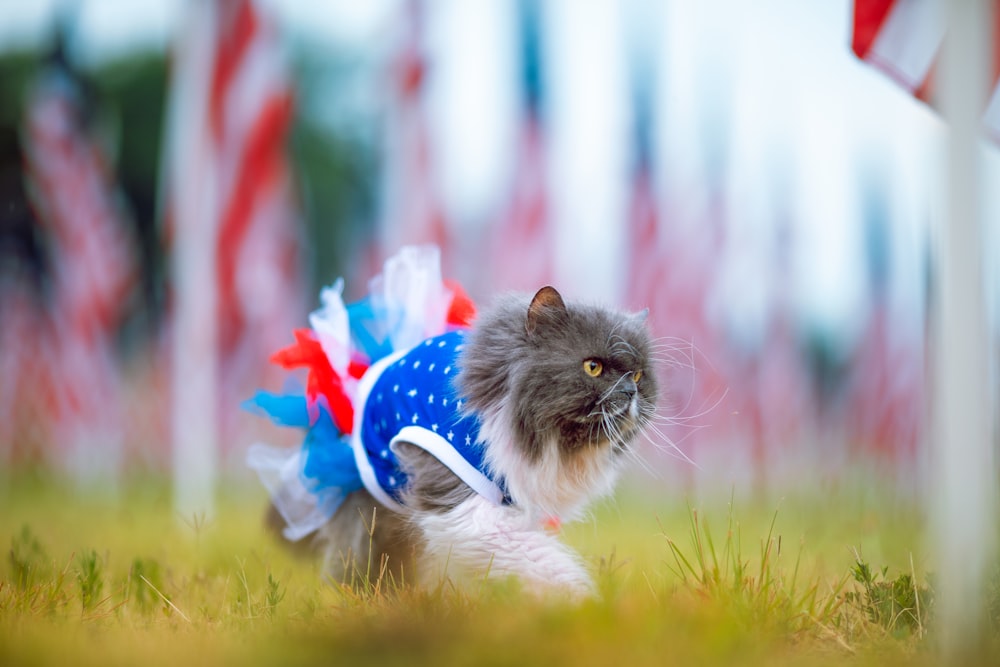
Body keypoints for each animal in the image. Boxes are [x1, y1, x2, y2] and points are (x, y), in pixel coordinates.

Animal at [308, 284, 660, 596]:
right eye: (593, 367)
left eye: (638, 376)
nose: (630, 392)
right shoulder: (467, 509)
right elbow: (547, 564)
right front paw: (583, 603)